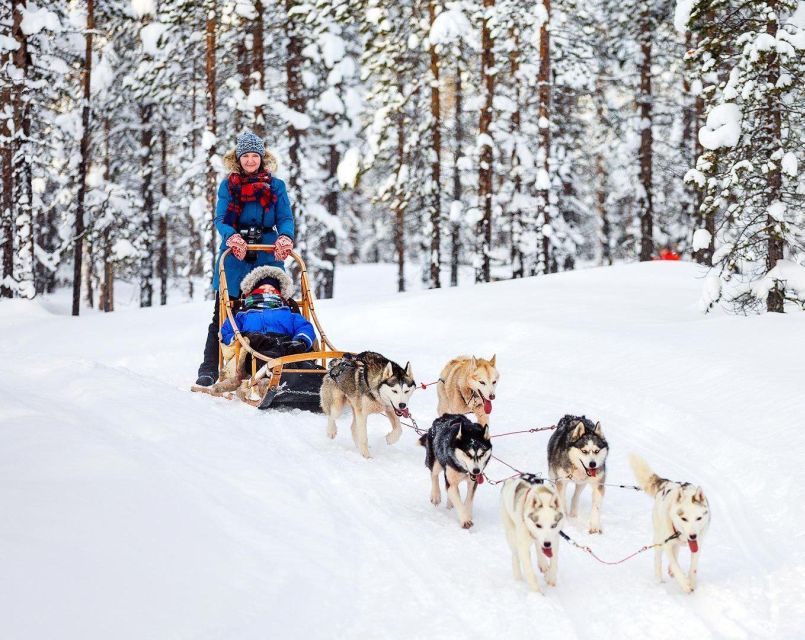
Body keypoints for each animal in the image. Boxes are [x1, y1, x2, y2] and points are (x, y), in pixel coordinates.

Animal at [628, 452, 708, 592]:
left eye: (699, 518)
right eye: (684, 518)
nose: (693, 536)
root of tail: (667, 483)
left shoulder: (697, 544)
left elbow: (693, 568)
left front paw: (692, 582)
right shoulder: (667, 544)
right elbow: (675, 565)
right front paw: (685, 584)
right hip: (659, 539)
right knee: (658, 559)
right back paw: (659, 579)